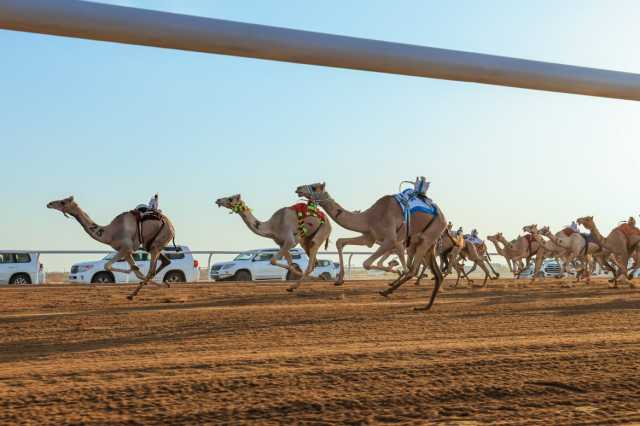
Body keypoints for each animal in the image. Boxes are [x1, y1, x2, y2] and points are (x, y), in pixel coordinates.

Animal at [47, 195, 175, 298]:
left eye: (63, 202)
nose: (49, 204)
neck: (110, 232)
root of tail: (171, 226)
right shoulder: (125, 251)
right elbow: (136, 271)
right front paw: (132, 271)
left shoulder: (126, 248)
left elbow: (107, 265)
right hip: (149, 245)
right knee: (165, 261)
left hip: (158, 243)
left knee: (151, 270)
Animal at [296, 182, 450, 310]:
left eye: (314, 187)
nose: (298, 188)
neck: (369, 218)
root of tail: (444, 218)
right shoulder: (369, 238)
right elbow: (340, 242)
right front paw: (339, 280)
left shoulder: (391, 240)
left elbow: (367, 263)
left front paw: (394, 271)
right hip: (425, 244)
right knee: (436, 274)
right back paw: (425, 306)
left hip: (427, 238)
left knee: (413, 270)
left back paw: (387, 291)